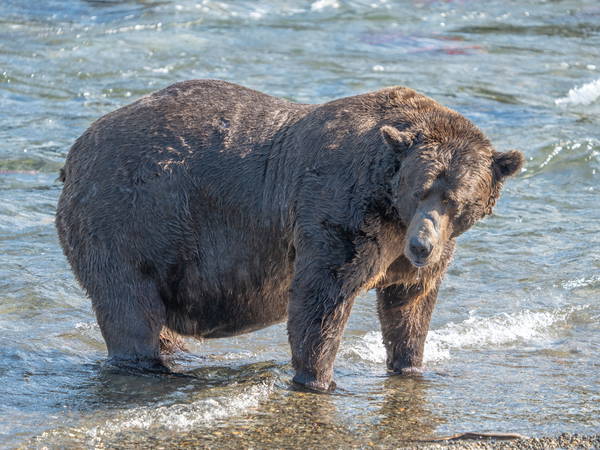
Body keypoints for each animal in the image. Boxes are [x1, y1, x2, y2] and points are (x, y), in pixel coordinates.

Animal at [57, 80, 524, 390]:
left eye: (455, 199)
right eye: (420, 189)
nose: (422, 245)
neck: (390, 205)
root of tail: (75, 151)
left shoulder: (407, 250)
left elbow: (410, 303)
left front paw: (410, 365)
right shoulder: (339, 211)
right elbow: (322, 297)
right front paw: (318, 379)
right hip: (130, 217)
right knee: (129, 305)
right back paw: (149, 365)